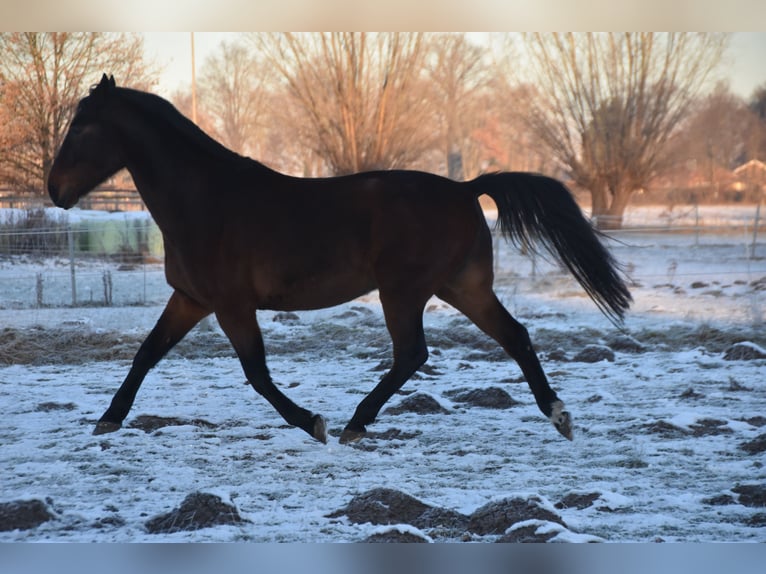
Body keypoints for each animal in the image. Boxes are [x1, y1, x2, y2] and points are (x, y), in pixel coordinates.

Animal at [49, 75, 636, 446]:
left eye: (79, 128)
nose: (55, 190)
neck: (204, 200)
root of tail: (465, 188)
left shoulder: (232, 305)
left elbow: (256, 373)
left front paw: (313, 423)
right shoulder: (190, 299)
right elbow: (146, 354)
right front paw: (107, 421)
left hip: (404, 291)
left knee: (412, 354)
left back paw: (356, 423)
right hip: (462, 287)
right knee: (513, 336)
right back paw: (558, 416)